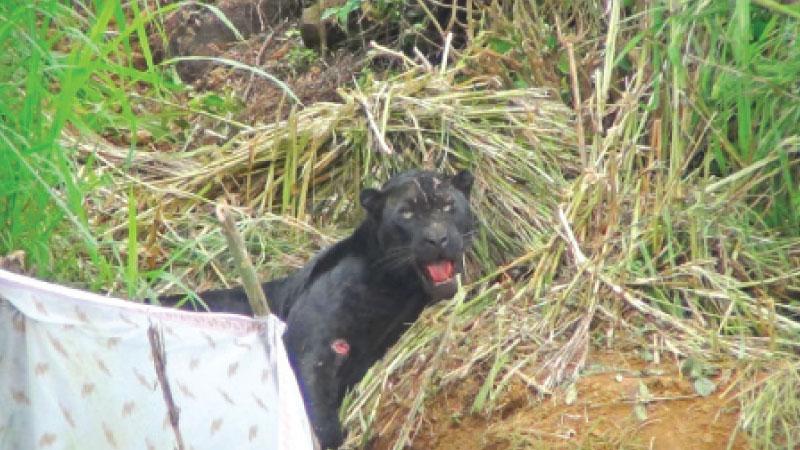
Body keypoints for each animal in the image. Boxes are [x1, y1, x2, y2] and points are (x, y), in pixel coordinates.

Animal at [160, 171, 478, 448]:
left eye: (448, 205)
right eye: (407, 213)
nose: (437, 238)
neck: (395, 288)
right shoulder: (311, 345)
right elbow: (313, 404)